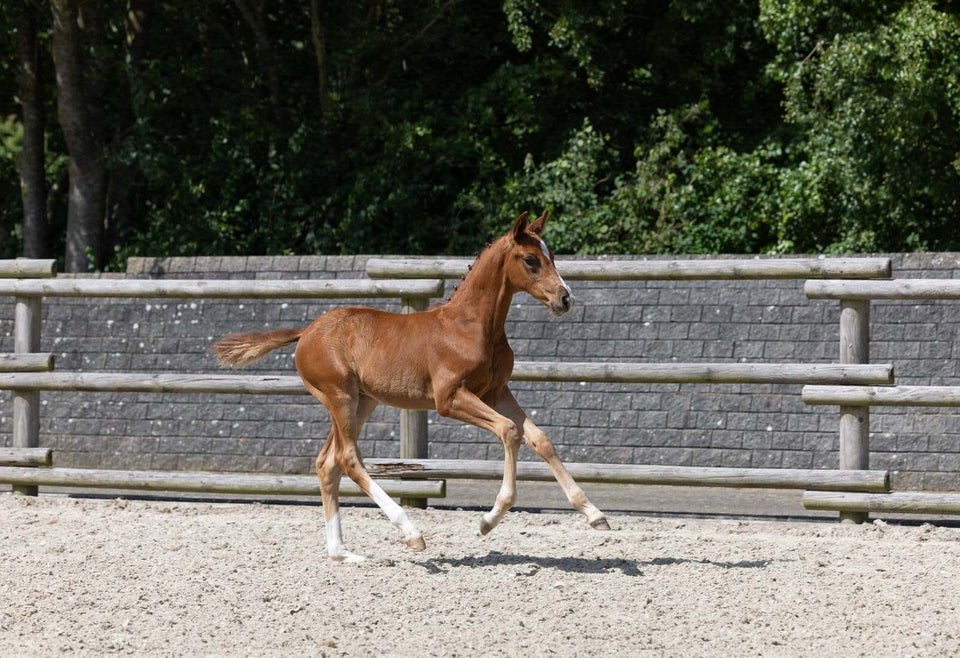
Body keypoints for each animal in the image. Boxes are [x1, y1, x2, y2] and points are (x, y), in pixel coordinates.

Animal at [215, 210, 612, 560]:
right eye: (530, 259)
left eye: (552, 256)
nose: (565, 298)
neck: (470, 327)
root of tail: (306, 332)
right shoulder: (449, 398)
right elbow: (509, 431)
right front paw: (489, 520)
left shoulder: (497, 391)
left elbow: (540, 439)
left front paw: (594, 514)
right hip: (339, 396)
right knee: (347, 458)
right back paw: (411, 532)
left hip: (361, 401)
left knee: (327, 463)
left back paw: (343, 553)